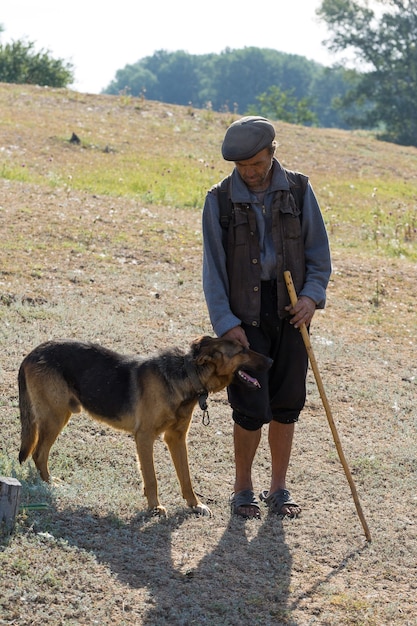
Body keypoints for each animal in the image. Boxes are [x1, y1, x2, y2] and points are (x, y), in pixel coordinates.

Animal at [17, 334, 272, 516]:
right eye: (242, 351)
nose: (271, 360)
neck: (188, 374)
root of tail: (31, 354)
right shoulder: (145, 437)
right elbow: (151, 478)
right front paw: (154, 507)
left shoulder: (176, 438)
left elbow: (186, 476)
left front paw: (194, 504)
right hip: (56, 417)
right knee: (39, 453)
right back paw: (50, 484)